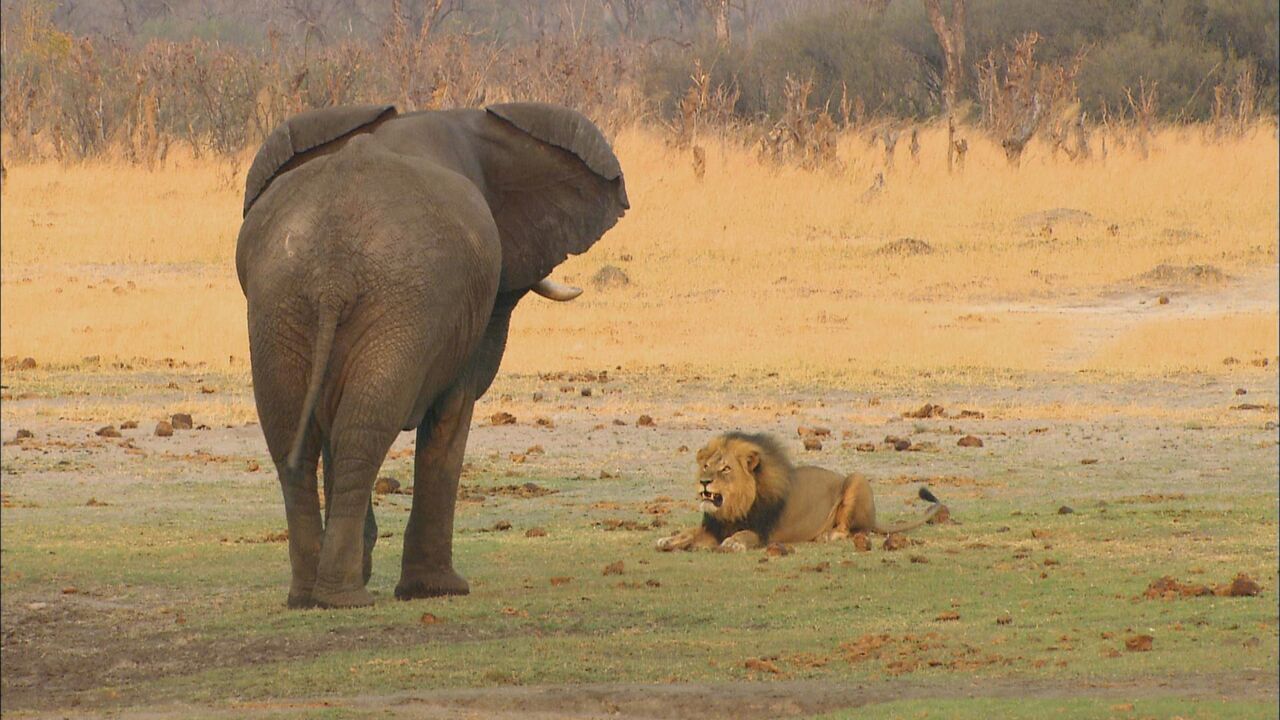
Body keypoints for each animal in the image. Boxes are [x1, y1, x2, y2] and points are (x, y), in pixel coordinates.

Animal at [655, 432, 943, 552]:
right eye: (706, 466)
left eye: (725, 468)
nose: (704, 482)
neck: (732, 509)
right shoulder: (713, 528)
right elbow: (688, 533)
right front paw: (667, 540)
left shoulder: (764, 533)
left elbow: (745, 534)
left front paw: (734, 542)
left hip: (856, 479)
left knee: (853, 529)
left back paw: (829, 535)